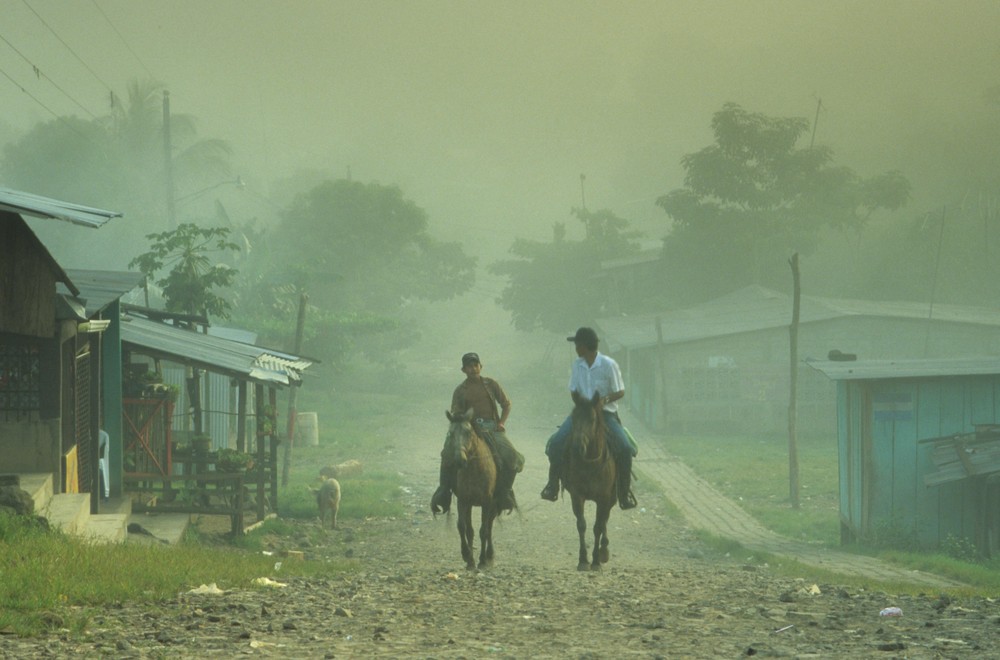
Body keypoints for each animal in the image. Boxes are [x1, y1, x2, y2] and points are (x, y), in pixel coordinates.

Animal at [446, 408, 496, 568]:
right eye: (450, 433)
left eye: (468, 432)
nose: (460, 460)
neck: (475, 470)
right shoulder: (463, 500)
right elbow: (462, 526)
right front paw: (467, 555)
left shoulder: (487, 502)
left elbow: (484, 530)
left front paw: (482, 559)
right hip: (469, 505)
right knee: (470, 529)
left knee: (489, 526)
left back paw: (489, 554)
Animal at [564, 390, 616, 568]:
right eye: (573, 418)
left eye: (592, 420)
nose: (576, 447)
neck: (590, 464)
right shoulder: (577, 495)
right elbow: (582, 525)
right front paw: (583, 560)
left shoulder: (604, 497)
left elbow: (598, 527)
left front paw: (596, 561)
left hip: (611, 498)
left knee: (605, 518)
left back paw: (604, 551)